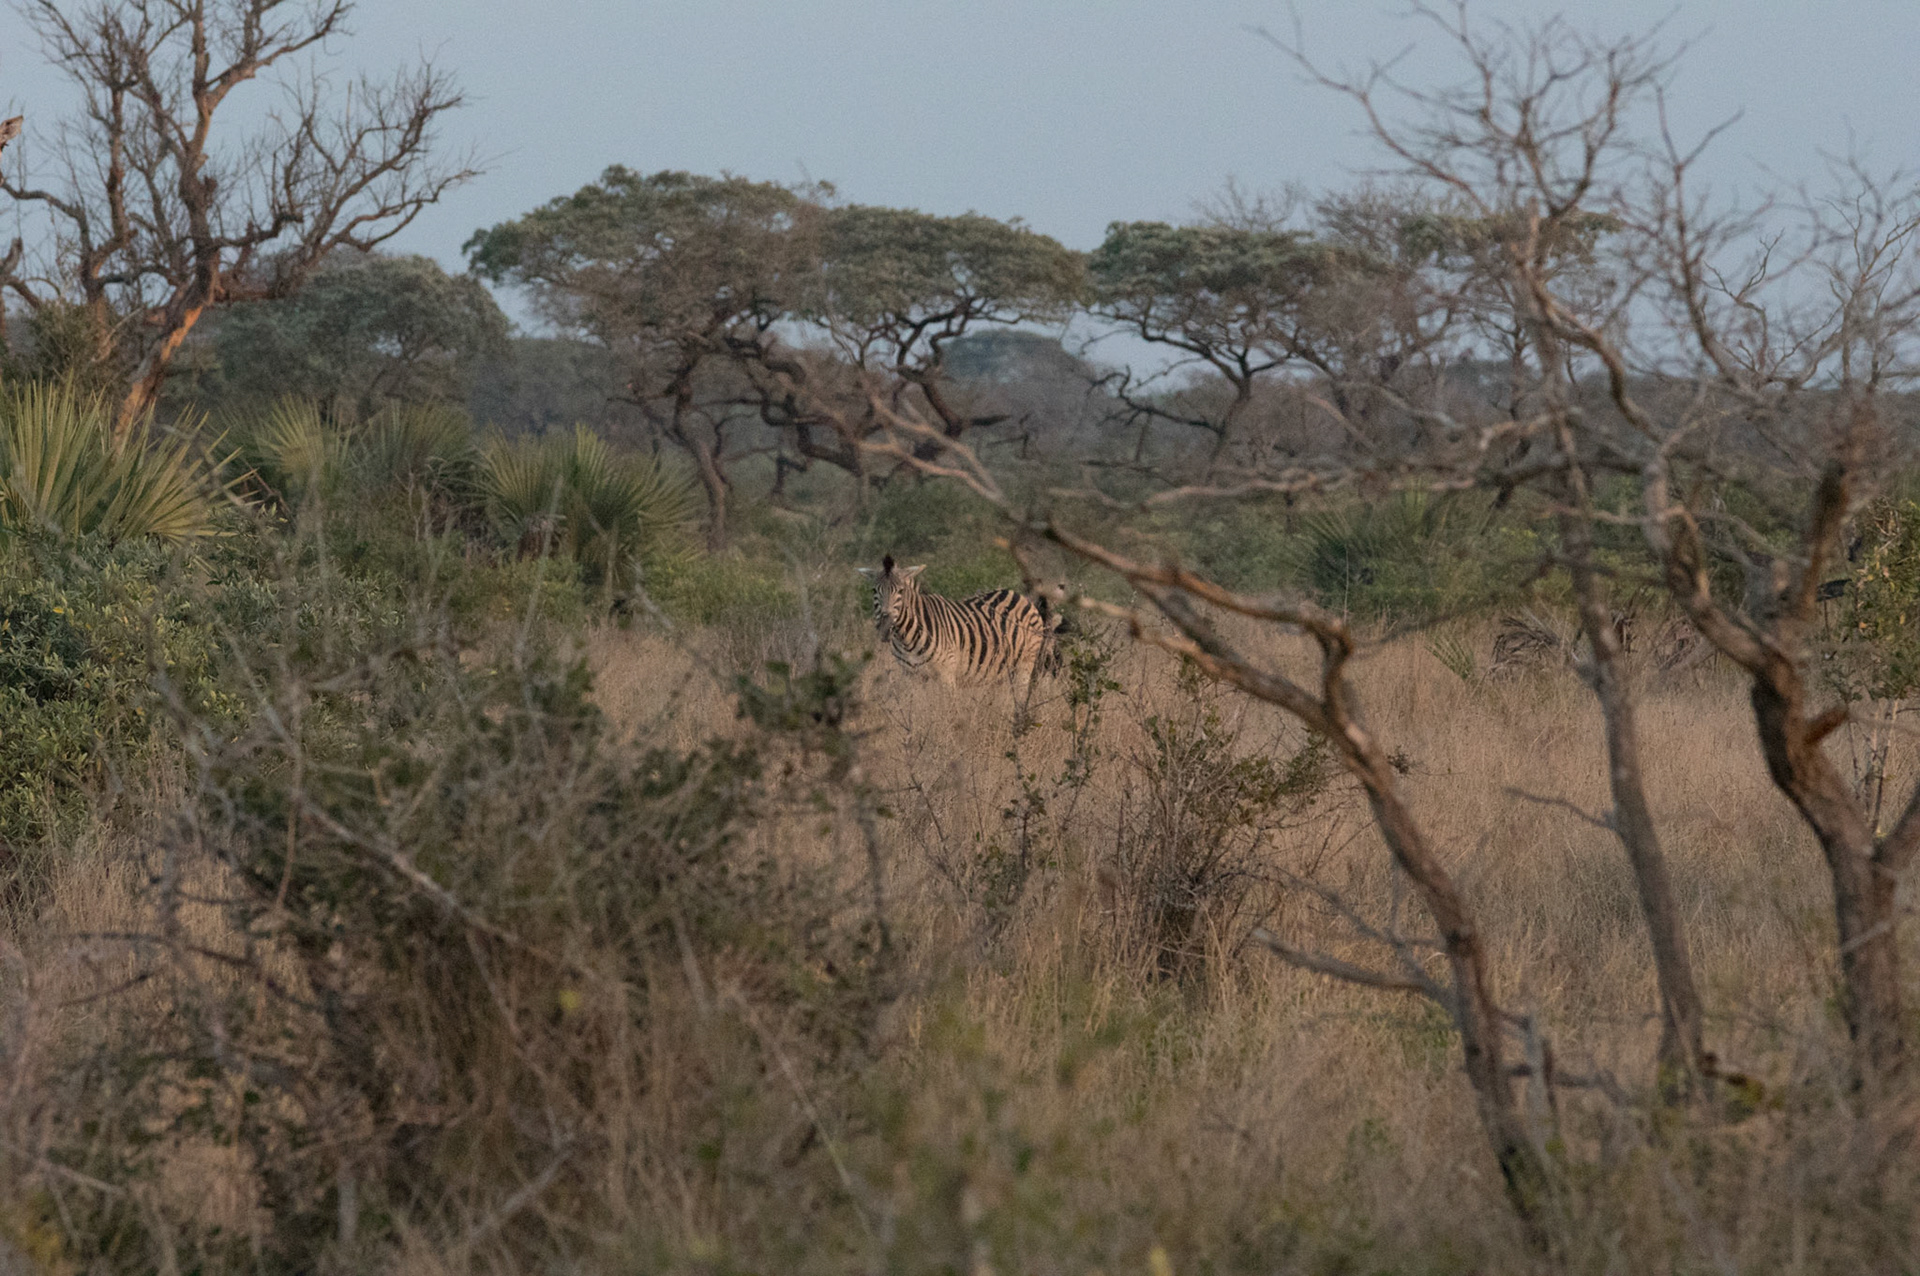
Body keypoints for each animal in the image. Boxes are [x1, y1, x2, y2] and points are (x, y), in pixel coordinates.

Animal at [864, 556, 1059, 690]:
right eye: (874, 590)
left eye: (901, 591)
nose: (884, 628)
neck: (906, 638)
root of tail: (1021, 596)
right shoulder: (910, 676)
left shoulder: (946, 675)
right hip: (1002, 670)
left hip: (1025, 664)